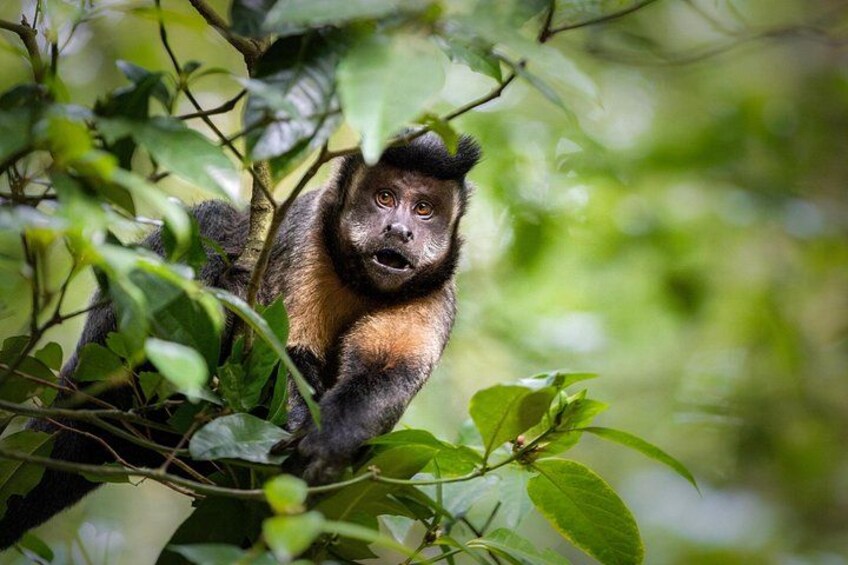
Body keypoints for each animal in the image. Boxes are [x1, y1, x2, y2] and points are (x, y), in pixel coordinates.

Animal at [0, 132, 481, 549]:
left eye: (423, 208)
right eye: (384, 198)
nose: (399, 230)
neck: (360, 281)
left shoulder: (436, 295)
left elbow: (387, 372)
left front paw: (328, 442)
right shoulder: (305, 236)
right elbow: (284, 351)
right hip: (103, 342)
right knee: (211, 219)